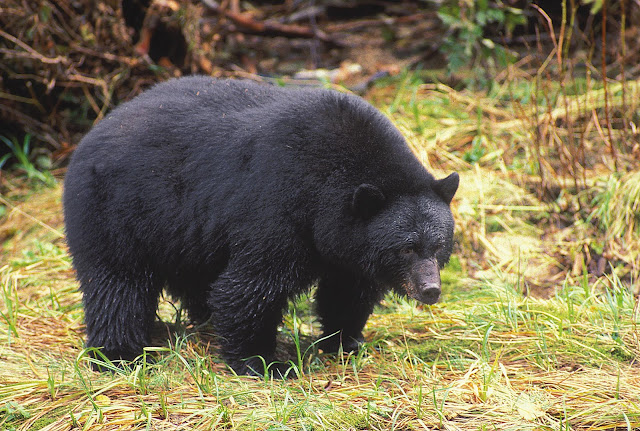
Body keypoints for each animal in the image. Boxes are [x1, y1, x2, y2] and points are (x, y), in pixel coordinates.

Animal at [62, 77, 458, 378]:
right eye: (406, 247)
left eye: (438, 245)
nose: (430, 290)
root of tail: (90, 135)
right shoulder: (276, 207)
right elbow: (250, 288)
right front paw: (264, 363)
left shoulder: (348, 245)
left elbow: (347, 290)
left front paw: (347, 342)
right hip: (115, 212)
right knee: (117, 285)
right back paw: (118, 354)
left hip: (184, 235)